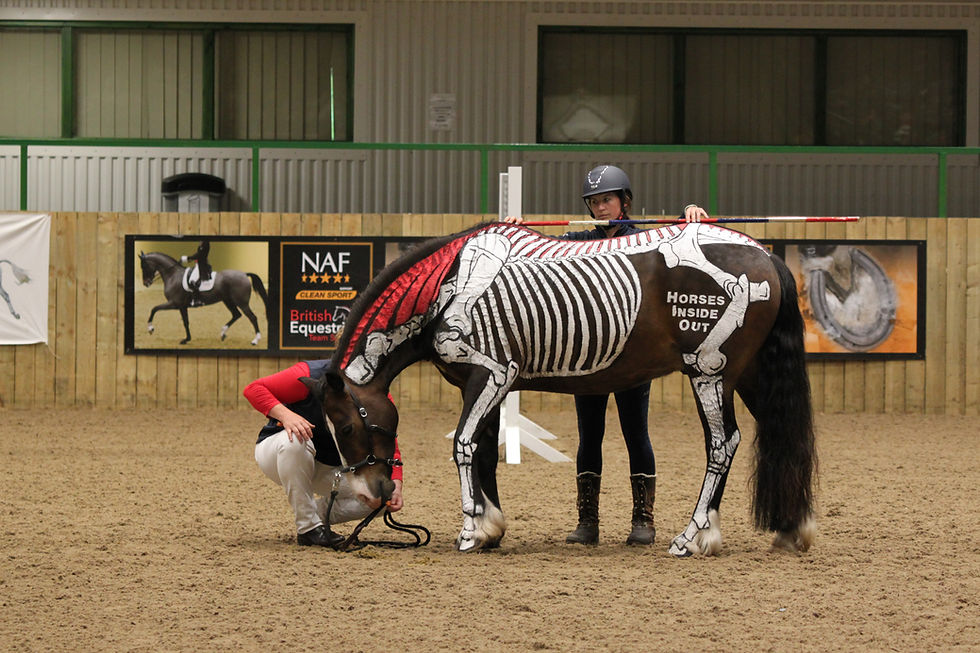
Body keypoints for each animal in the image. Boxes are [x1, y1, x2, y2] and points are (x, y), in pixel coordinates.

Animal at [138, 251, 269, 345]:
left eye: (144, 266)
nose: (146, 283)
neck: (173, 275)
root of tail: (244, 274)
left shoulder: (174, 304)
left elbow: (154, 309)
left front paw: (150, 328)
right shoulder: (182, 306)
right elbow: (185, 322)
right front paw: (187, 339)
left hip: (242, 303)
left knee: (252, 317)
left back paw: (255, 340)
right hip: (228, 301)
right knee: (236, 315)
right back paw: (223, 333)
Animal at [299, 222, 816, 557]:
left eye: (347, 427)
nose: (373, 492)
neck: (448, 284)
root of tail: (767, 255)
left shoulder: (492, 374)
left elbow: (465, 445)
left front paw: (470, 529)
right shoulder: (487, 387)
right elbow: (485, 450)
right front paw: (491, 526)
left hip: (711, 373)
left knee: (722, 443)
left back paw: (694, 536)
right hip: (750, 376)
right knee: (773, 435)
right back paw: (787, 529)